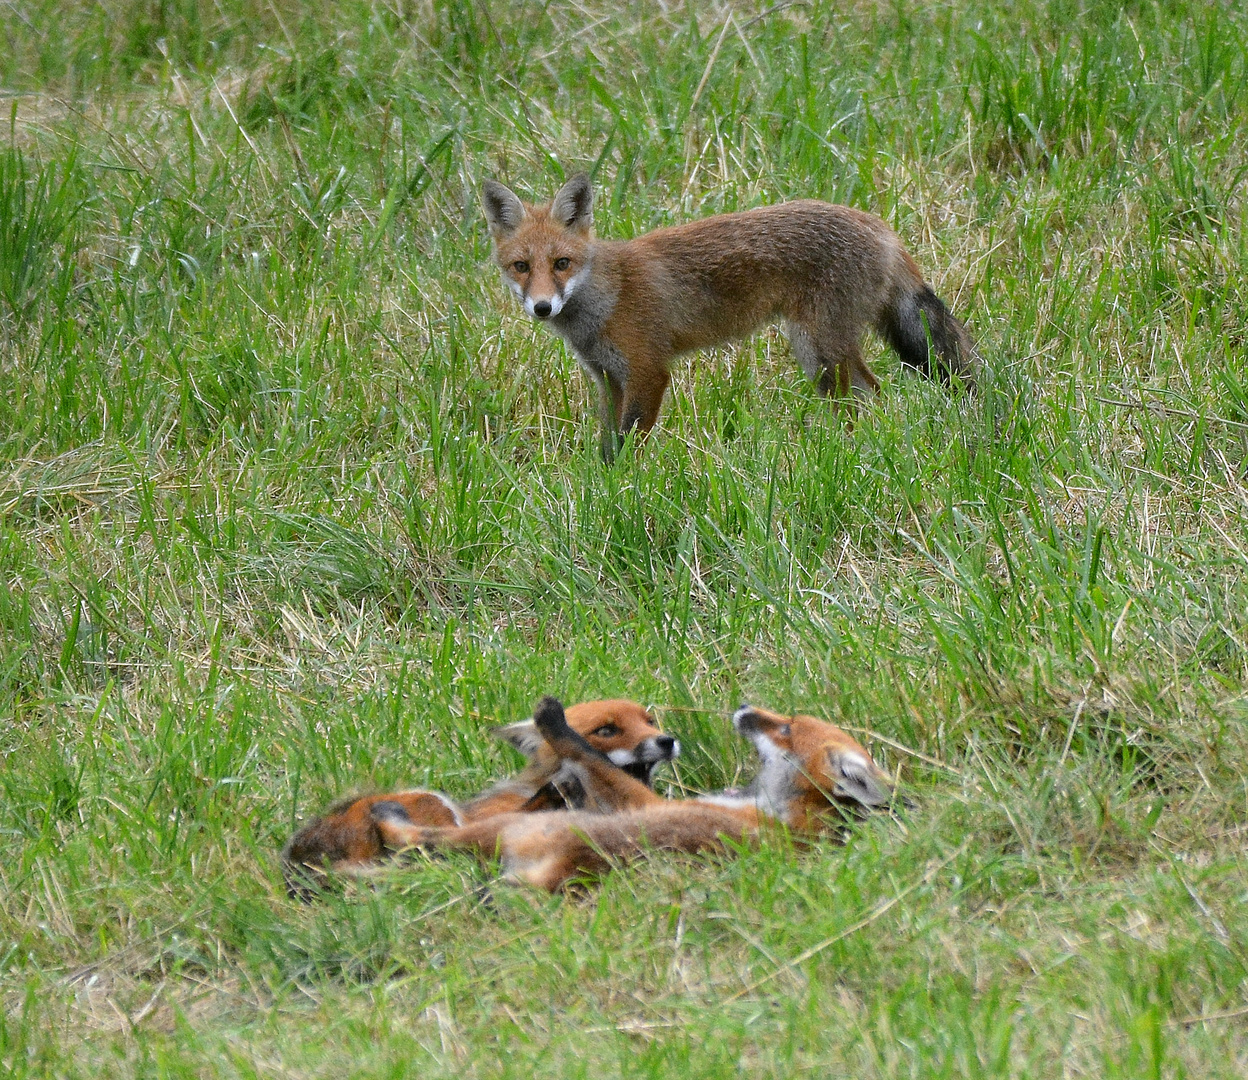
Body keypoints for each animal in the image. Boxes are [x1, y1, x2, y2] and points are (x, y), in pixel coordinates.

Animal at [366, 694, 898, 888]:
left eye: (786, 729)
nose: (745, 708)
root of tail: (576, 863)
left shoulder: (646, 802)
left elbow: (589, 758)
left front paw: (556, 725)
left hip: (511, 829)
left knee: (420, 840)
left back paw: (387, 819)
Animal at [481, 171, 978, 456]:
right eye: (521, 267)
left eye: (561, 263)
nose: (542, 307)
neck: (607, 296)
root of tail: (879, 225)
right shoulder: (608, 379)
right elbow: (608, 443)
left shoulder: (647, 372)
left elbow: (629, 445)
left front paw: (624, 488)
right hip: (820, 354)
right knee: (864, 395)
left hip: (817, 347)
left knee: (870, 392)